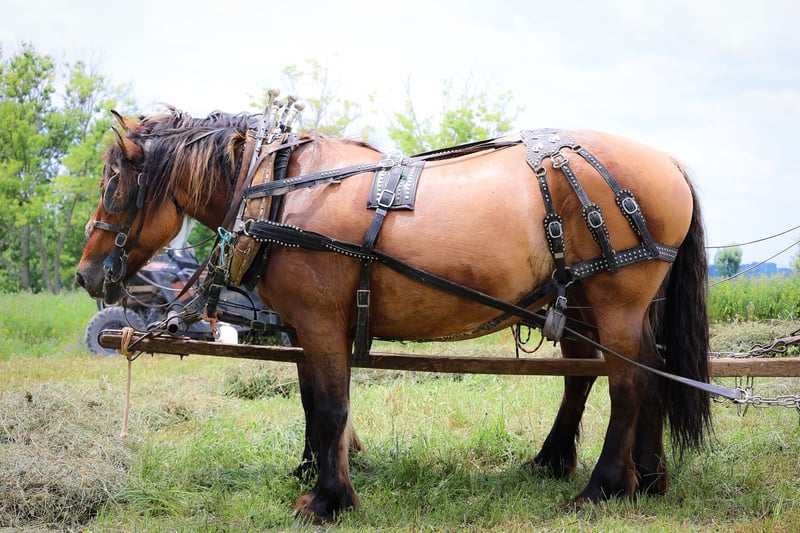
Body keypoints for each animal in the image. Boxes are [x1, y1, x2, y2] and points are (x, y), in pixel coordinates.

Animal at [76, 106, 711, 524]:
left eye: (114, 185)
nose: (85, 274)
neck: (278, 188)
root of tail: (671, 162)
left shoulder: (320, 322)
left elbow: (331, 409)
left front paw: (328, 500)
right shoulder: (305, 327)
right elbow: (312, 404)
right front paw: (313, 475)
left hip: (615, 299)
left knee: (628, 380)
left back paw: (603, 488)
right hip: (593, 301)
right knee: (630, 372)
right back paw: (642, 476)